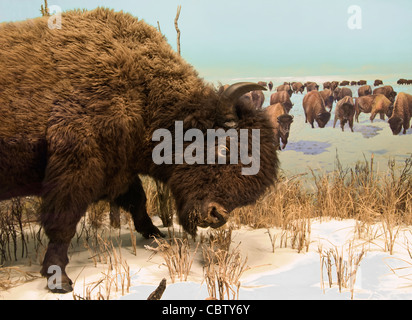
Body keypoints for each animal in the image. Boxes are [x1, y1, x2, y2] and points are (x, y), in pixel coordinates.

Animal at [0, 7, 280, 292]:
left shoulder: (119, 171)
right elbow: (63, 223)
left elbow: (138, 201)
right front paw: (59, 279)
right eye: (224, 149)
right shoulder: (76, 171)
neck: (141, 91)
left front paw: (156, 233)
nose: (215, 216)